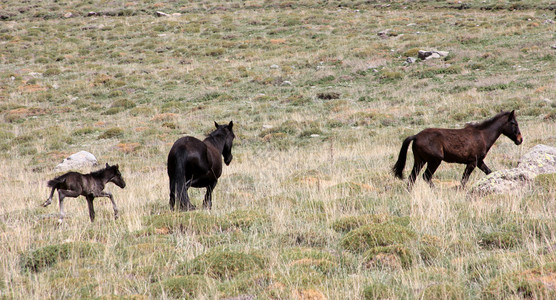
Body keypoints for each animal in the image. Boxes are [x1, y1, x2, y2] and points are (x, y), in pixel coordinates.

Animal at [390, 110, 520, 190]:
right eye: (513, 123)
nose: (520, 139)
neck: (483, 136)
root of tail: (416, 136)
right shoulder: (472, 163)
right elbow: (464, 180)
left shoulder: (479, 162)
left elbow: (489, 172)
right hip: (434, 161)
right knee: (426, 177)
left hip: (420, 161)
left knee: (412, 177)